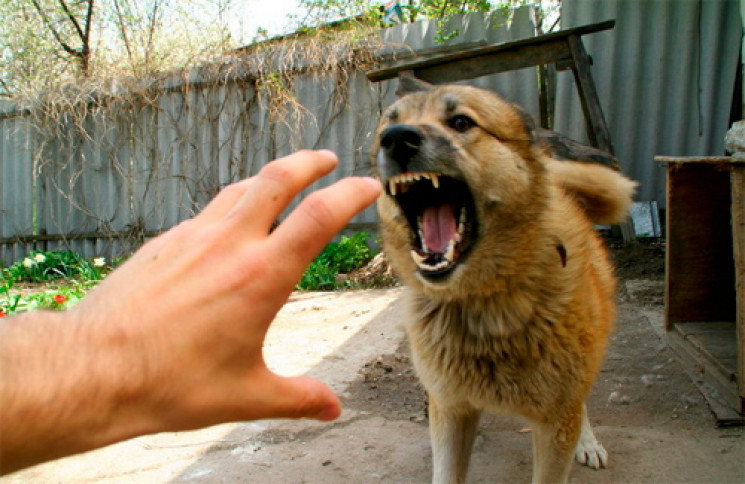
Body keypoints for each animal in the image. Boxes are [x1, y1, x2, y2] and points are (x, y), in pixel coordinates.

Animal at [370, 79, 632, 484]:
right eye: (388, 125)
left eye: (461, 122)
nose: (396, 139)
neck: (485, 304)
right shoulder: (450, 410)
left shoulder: (555, 424)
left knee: (583, 403)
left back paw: (587, 442)